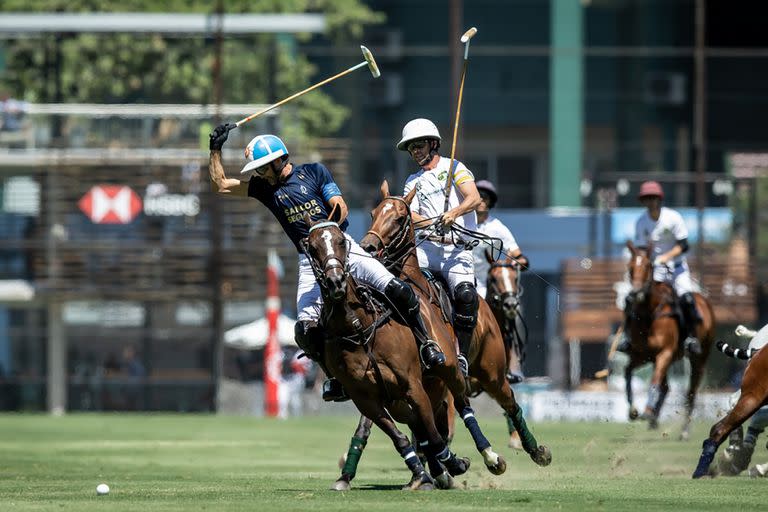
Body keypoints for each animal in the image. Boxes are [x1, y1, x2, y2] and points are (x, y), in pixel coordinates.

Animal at [304, 209, 496, 492]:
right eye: (312, 246)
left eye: (341, 241)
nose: (335, 282)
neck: (359, 326)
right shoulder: (365, 398)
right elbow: (402, 438)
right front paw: (424, 476)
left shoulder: (412, 386)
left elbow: (435, 436)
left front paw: (453, 464)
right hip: (401, 401)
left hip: (448, 370)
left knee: (462, 404)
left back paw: (491, 456)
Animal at [330, 182, 552, 490]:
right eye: (374, 213)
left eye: (400, 218)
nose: (369, 247)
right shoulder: (391, 384)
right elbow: (371, 426)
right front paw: (346, 473)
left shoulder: (445, 375)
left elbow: (452, 420)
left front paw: (481, 459)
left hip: (492, 373)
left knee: (509, 404)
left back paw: (533, 450)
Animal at [624, 241, 712, 440]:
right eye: (630, 267)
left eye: (648, 266)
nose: (635, 294)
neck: (649, 315)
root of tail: (703, 299)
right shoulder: (642, 355)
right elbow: (627, 373)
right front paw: (633, 411)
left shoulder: (664, 353)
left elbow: (654, 381)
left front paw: (647, 411)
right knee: (666, 387)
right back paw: (654, 420)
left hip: (698, 359)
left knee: (690, 392)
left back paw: (684, 431)